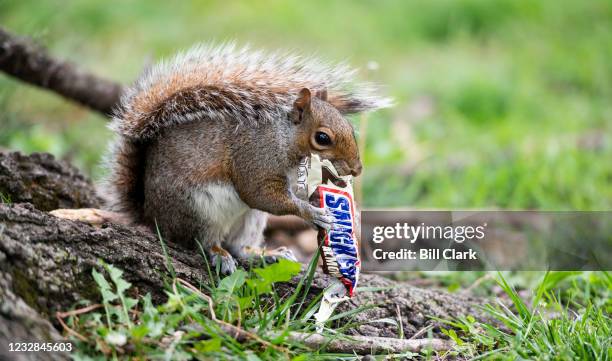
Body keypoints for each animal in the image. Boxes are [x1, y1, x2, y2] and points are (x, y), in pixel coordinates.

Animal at [104, 43, 392, 272]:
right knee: (200, 241)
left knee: (238, 245)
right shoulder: (255, 157)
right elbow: (260, 194)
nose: (357, 169)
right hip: (196, 209)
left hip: (250, 220)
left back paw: (267, 254)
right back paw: (219, 255)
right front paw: (312, 213)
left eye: (349, 127)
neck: (285, 140)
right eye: (322, 138)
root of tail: (150, 217)